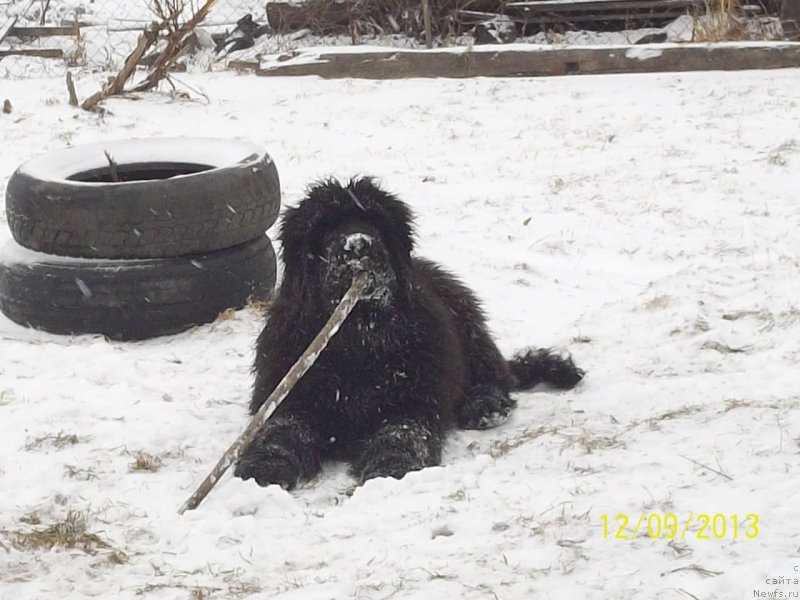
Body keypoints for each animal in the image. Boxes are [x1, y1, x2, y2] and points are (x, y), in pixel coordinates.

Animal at [234, 177, 584, 488]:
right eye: (325, 226)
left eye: (375, 222)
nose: (358, 244)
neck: (357, 336)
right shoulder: (290, 393)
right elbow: (281, 430)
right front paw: (264, 466)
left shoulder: (414, 398)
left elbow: (401, 432)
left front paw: (389, 466)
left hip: (467, 319)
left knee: (495, 374)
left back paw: (484, 406)